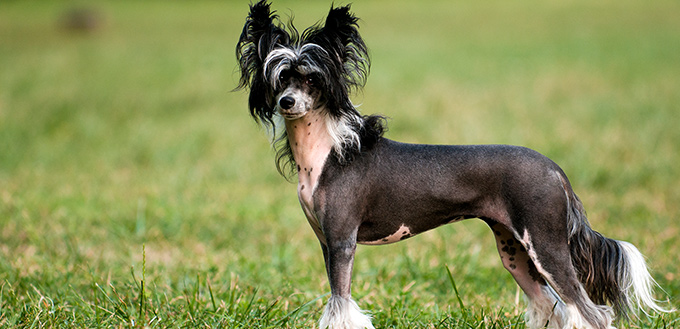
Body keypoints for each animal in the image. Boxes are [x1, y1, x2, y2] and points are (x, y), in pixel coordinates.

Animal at [235, 3, 668, 328]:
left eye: (312, 79)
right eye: (280, 78)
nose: (286, 102)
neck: (328, 152)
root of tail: (554, 169)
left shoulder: (342, 243)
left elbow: (341, 307)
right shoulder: (327, 243)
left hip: (546, 245)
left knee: (590, 312)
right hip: (514, 251)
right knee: (551, 307)